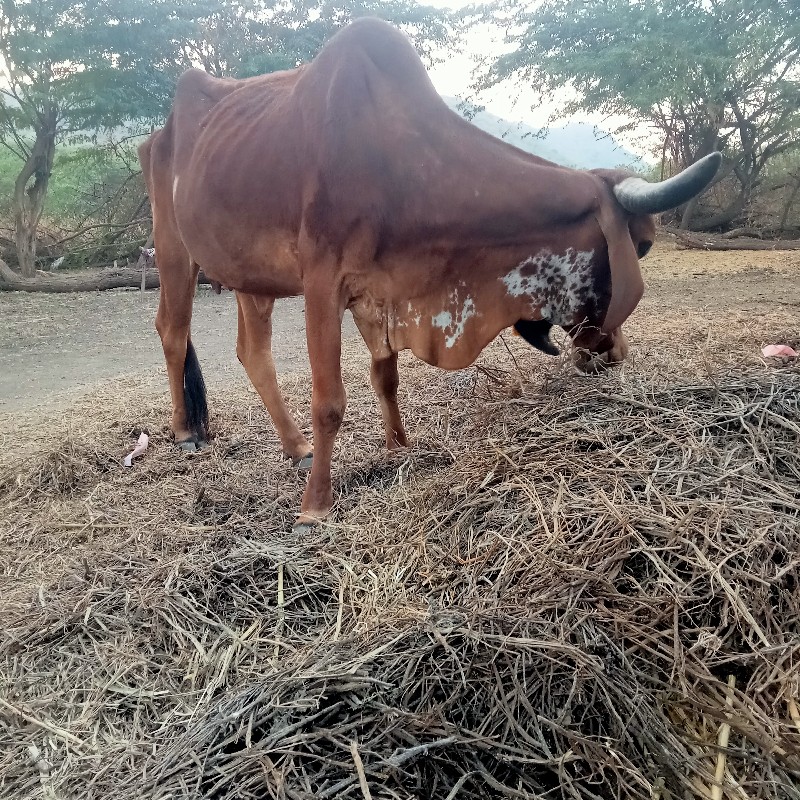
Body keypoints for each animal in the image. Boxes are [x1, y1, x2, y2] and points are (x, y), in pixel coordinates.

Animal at [141, 17, 720, 524]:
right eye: (642, 246)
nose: (616, 353)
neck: (402, 163)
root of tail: (159, 133)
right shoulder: (323, 283)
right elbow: (330, 402)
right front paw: (315, 506)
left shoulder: (378, 293)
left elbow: (386, 377)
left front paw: (398, 449)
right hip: (174, 248)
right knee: (171, 330)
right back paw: (185, 432)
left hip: (249, 275)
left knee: (252, 352)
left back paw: (294, 444)